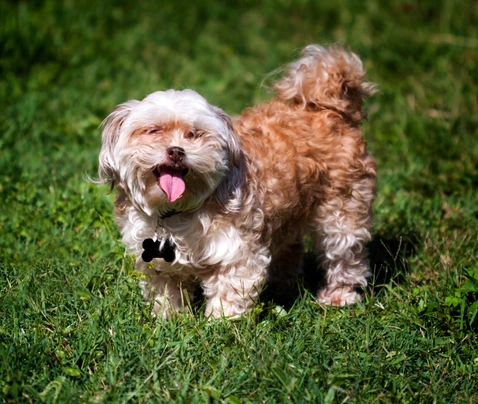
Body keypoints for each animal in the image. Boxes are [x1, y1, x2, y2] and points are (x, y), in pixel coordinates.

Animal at [99, 44, 378, 318]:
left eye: (194, 134)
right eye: (153, 130)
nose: (176, 151)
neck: (177, 212)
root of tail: (329, 108)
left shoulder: (237, 251)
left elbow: (229, 291)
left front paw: (220, 325)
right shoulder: (156, 259)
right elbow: (166, 291)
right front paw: (169, 320)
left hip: (342, 211)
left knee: (345, 253)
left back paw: (340, 294)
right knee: (291, 248)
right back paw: (283, 286)